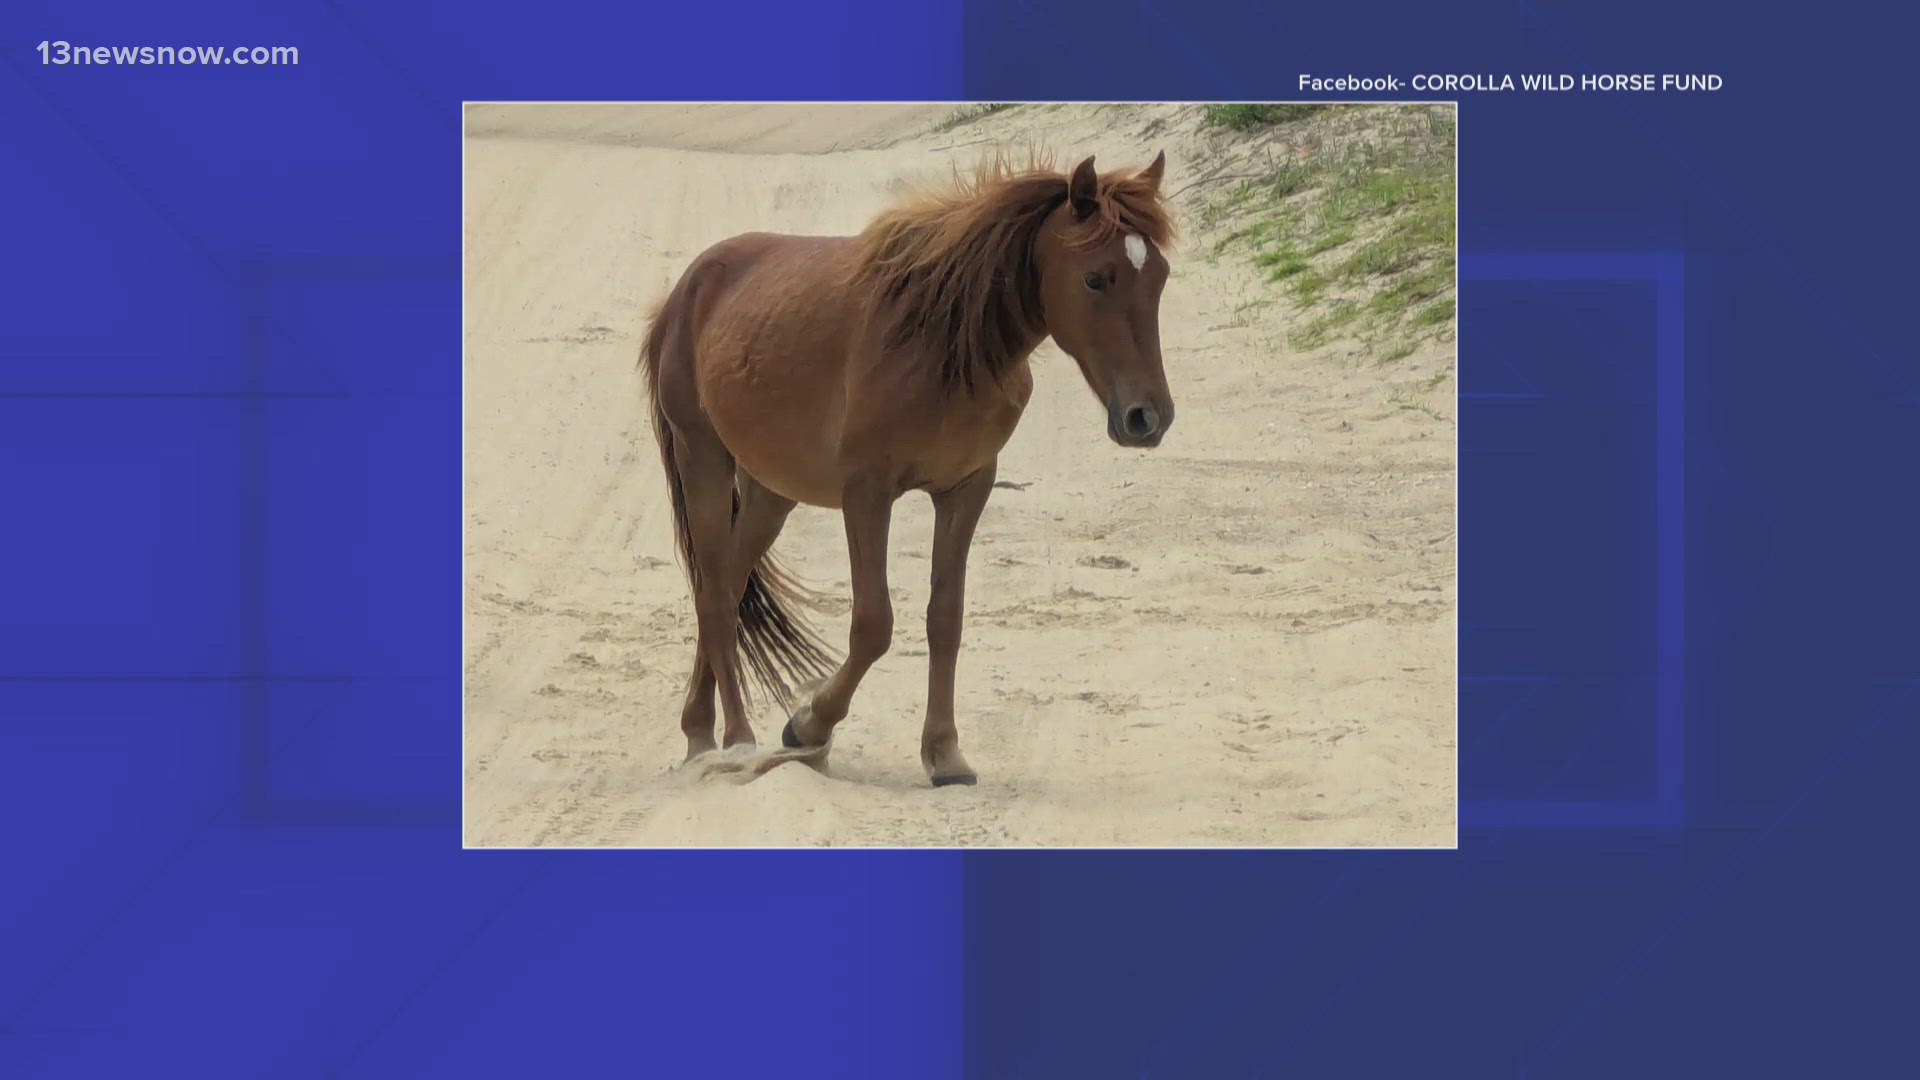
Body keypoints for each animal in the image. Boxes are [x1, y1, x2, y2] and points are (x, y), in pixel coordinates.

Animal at [637, 151, 1176, 786]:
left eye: (1160, 276)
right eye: (1096, 277)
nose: (1148, 417)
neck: (947, 343)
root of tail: (688, 288)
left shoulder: (966, 490)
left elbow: (945, 619)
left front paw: (944, 754)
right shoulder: (867, 495)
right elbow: (873, 624)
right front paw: (809, 725)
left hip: (770, 493)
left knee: (727, 581)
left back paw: (699, 733)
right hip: (704, 461)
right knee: (716, 598)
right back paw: (739, 744)